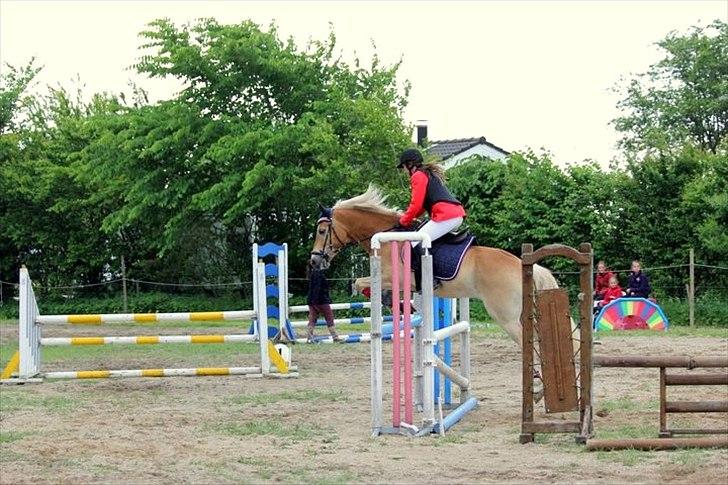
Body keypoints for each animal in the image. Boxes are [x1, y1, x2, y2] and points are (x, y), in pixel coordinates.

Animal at [310, 186, 560, 348]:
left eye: (321, 231)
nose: (314, 261)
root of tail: (521, 263)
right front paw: (389, 300)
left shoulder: (397, 277)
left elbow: (359, 282)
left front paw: (379, 296)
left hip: (506, 317)